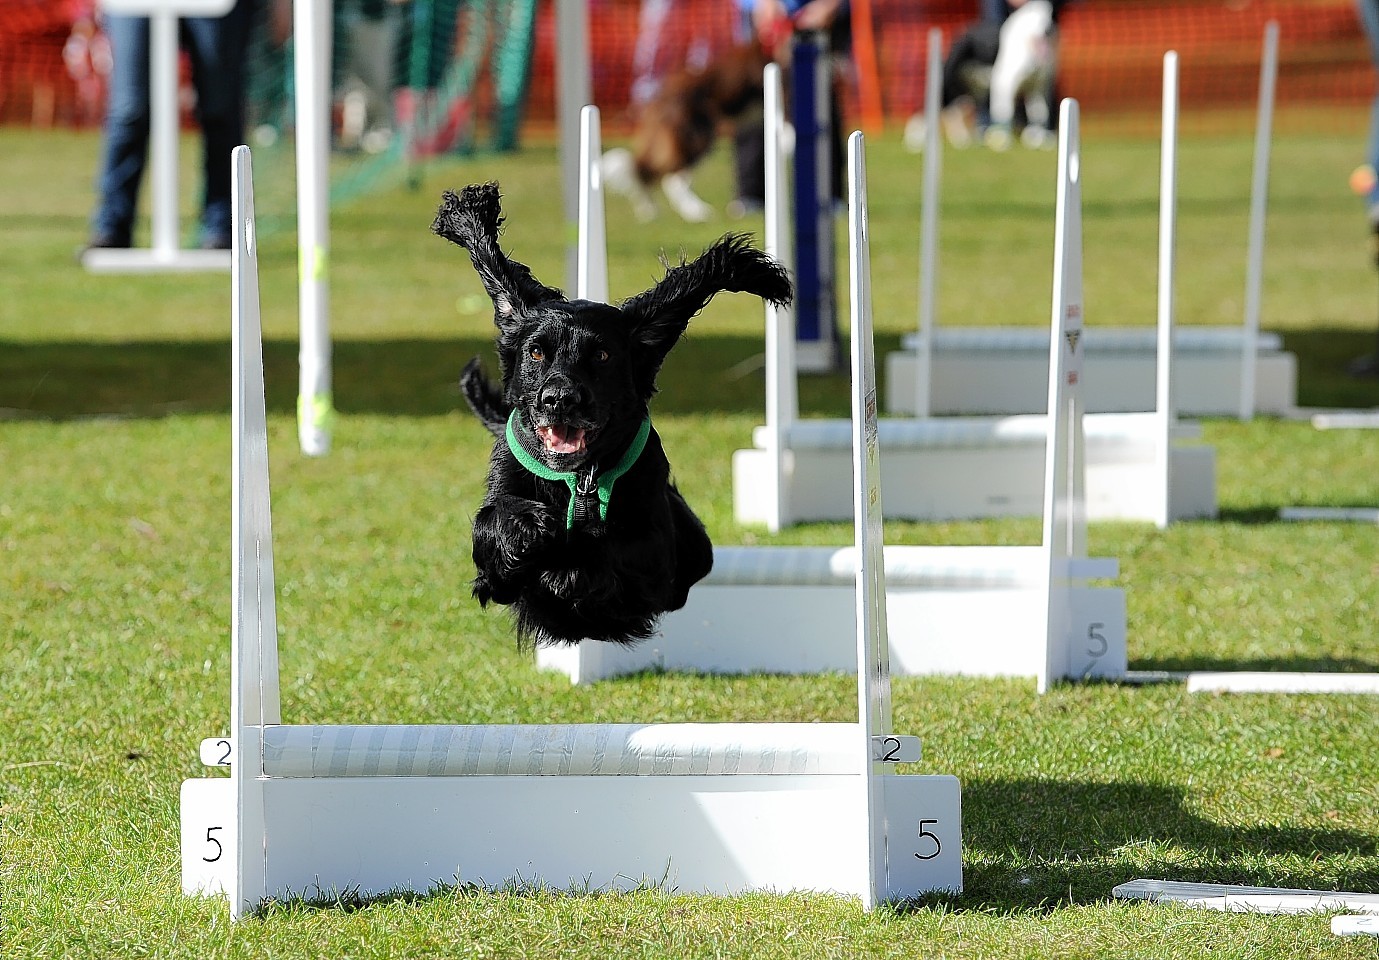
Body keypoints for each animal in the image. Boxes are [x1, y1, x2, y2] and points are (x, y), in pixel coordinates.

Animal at [430, 182, 799, 645]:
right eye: (536, 352)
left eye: (602, 355)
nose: (559, 399)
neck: (580, 479)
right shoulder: (493, 560)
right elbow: (490, 525)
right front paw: (529, 525)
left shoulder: (657, 556)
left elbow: (619, 547)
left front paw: (569, 569)